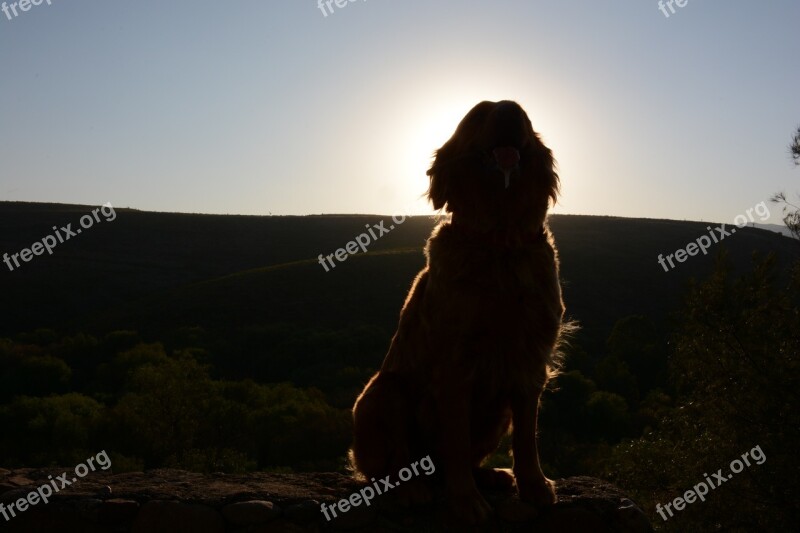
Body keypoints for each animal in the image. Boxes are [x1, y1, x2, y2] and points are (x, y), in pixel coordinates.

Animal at [350, 100, 568, 524]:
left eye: (524, 115)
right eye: (480, 113)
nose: (509, 109)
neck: (499, 242)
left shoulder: (530, 359)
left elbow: (526, 436)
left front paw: (534, 485)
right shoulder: (455, 364)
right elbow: (455, 439)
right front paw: (466, 501)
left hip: (497, 413)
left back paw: (492, 475)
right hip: (383, 392)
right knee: (392, 467)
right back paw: (412, 489)